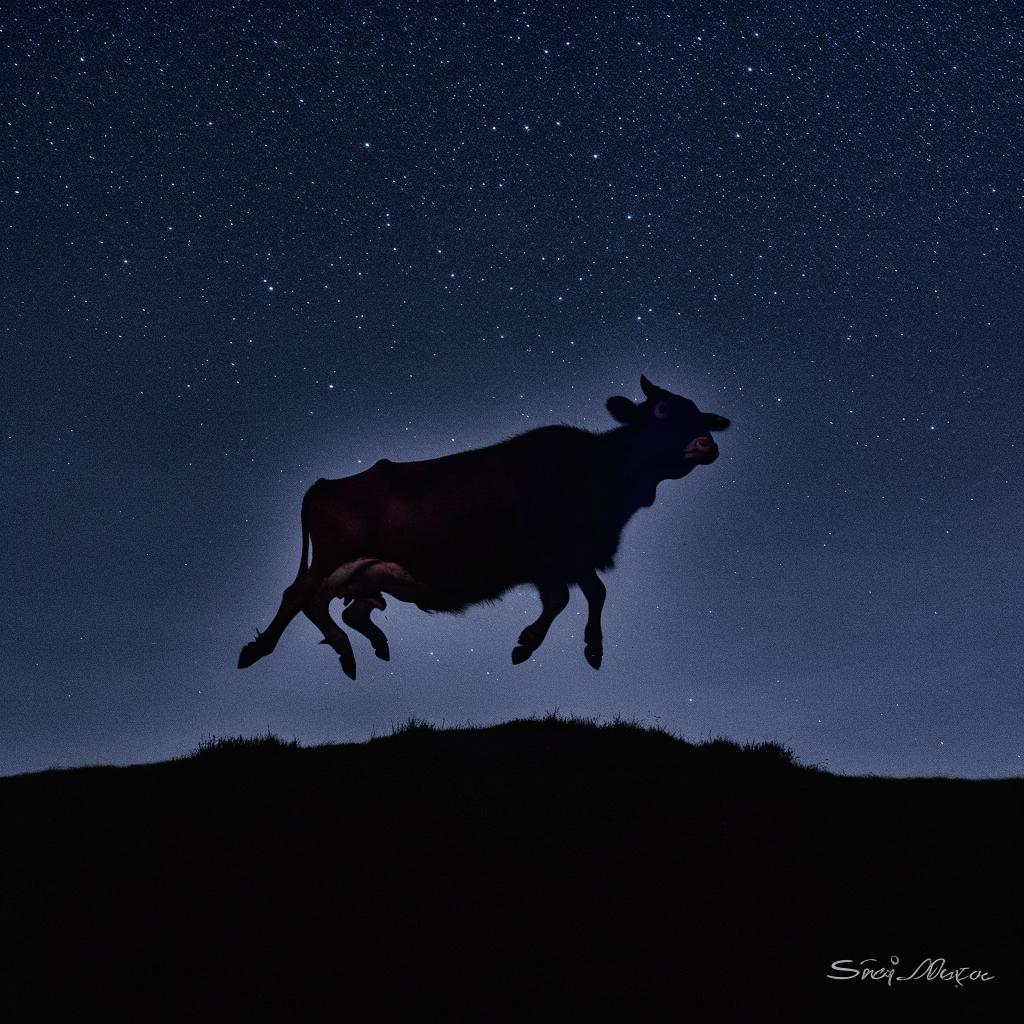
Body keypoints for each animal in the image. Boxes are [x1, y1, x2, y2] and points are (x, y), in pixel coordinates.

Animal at [238, 376, 729, 679]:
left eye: (700, 414)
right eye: (661, 409)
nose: (707, 444)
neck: (598, 471)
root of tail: (325, 483)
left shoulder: (574, 555)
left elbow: (595, 593)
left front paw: (593, 649)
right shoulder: (547, 558)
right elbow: (563, 599)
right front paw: (526, 644)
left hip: (367, 573)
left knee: (340, 609)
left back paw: (361, 648)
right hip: (333, 558)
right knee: (299, 596)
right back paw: (259, 652)